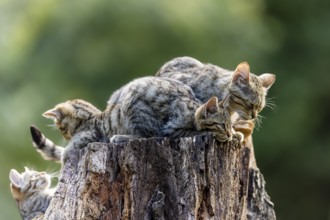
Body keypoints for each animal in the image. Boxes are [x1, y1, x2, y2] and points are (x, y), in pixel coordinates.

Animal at [40, 76, 232, 162]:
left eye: (61, 128)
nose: (230, 134)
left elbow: (65, 155)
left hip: (133, 105)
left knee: (148, 135)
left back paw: (119, 137)